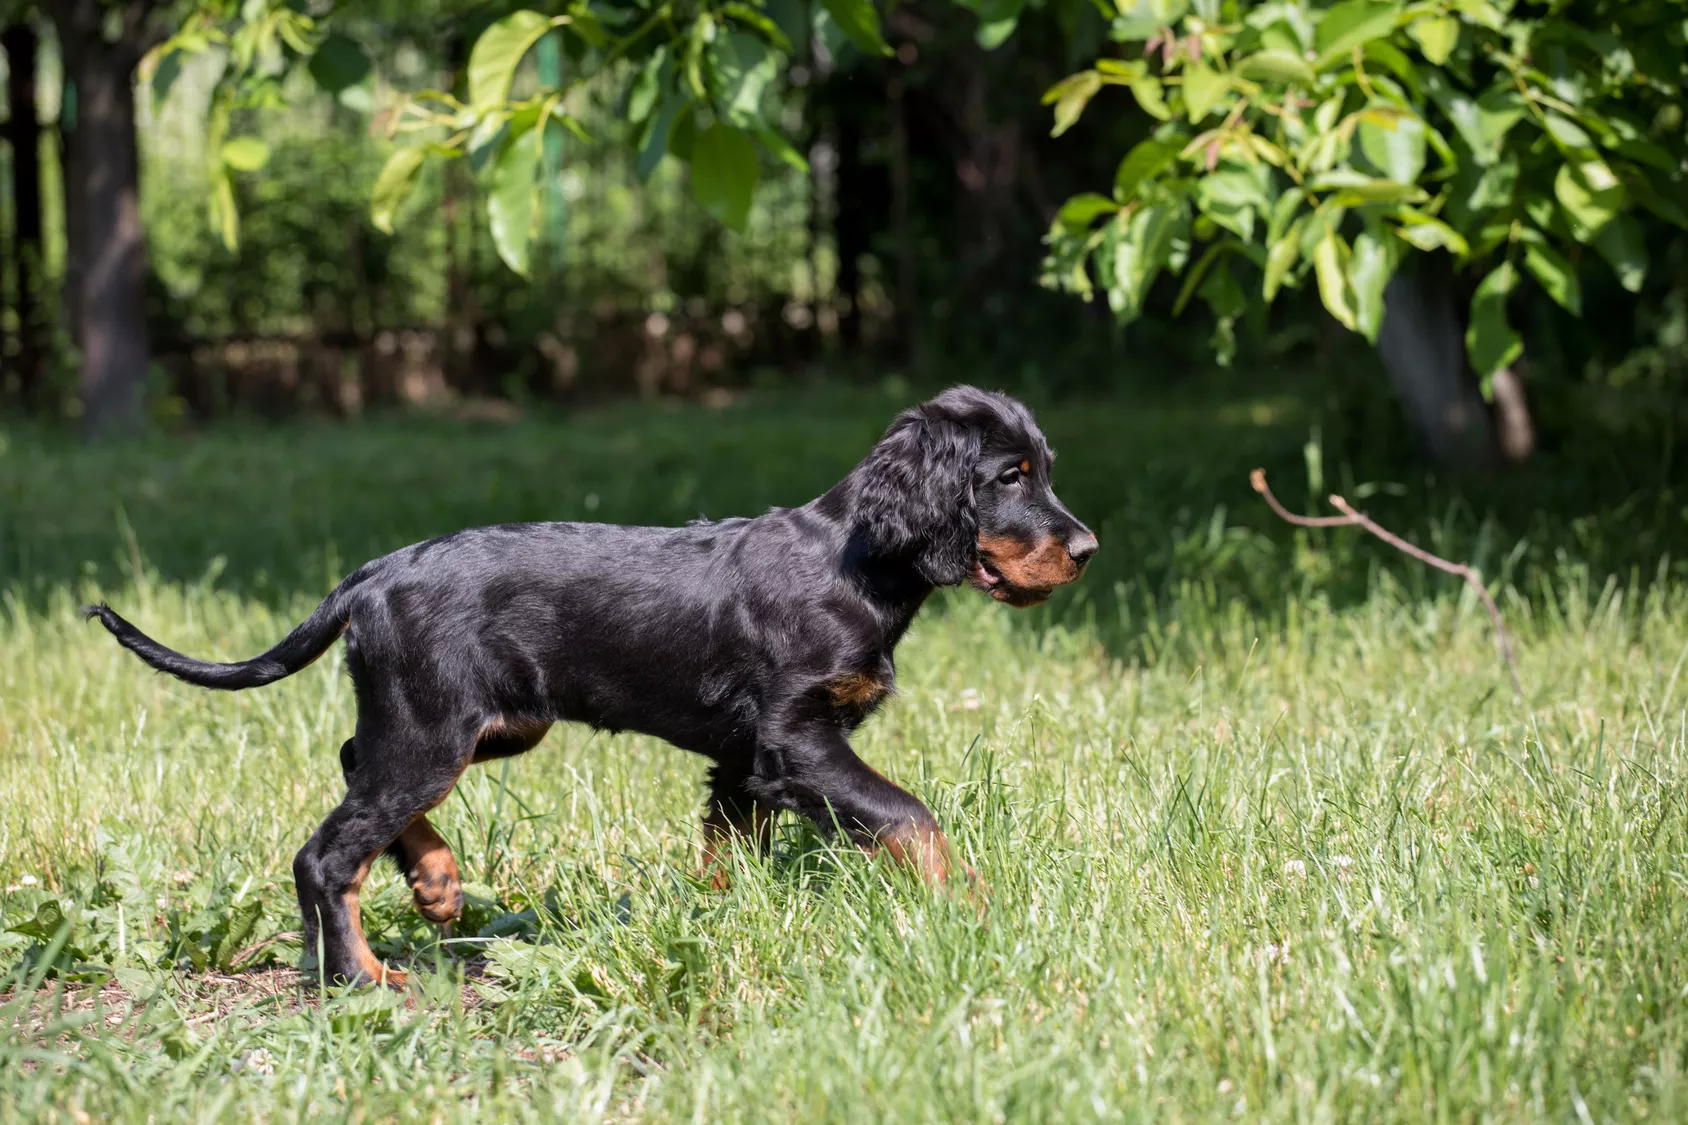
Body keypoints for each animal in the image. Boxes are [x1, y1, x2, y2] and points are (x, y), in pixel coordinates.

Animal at [89, 385, 1093, 979]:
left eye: (1044, 469)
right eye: (1009, 476)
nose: (1085, 548)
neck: (857, 563)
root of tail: (373, 573)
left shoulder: (744, 759)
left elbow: (729, 850)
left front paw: (719, 919)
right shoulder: (795, 738)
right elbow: (910, 816)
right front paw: (974, 903)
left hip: (483, 722)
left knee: (351, 760)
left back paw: (437, 879)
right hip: (434, 728)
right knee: (326, 851)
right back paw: (362, 975)